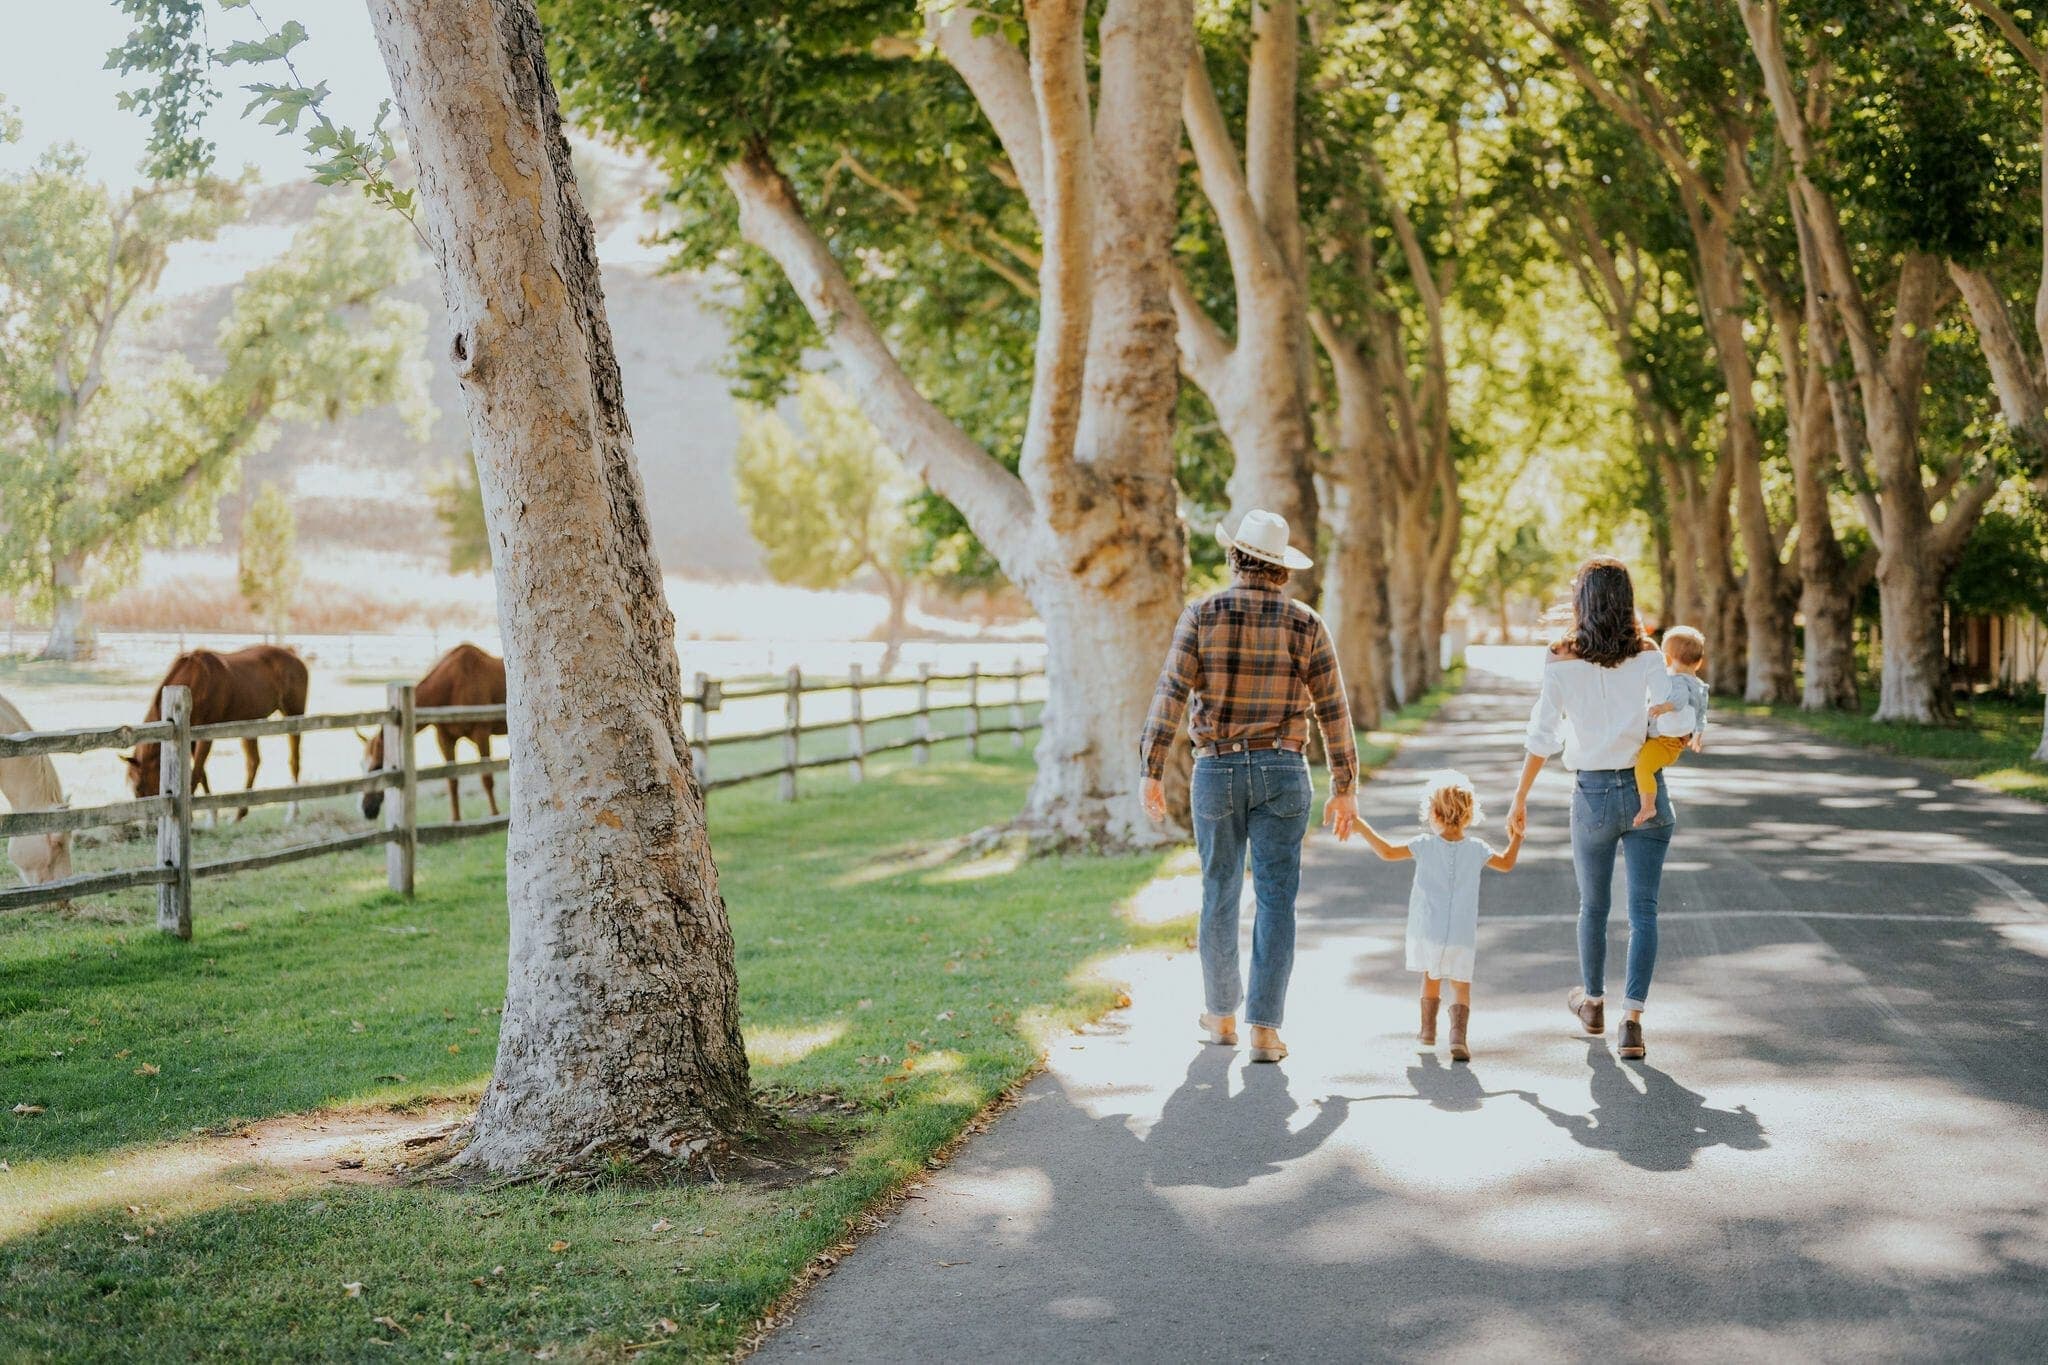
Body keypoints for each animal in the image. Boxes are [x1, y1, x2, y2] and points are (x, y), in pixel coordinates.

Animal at [128, 642, 309, 822]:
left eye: (138, 787)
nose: (148, 824)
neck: (195, 680)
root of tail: (292, 655)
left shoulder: (205, 738)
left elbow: (197, 772)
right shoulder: (191, 739)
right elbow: (202, 774)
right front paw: (211, 816)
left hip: (293, 717)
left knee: (294, 762)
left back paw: (293, 812)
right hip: (250, 725)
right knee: (253, 762)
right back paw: (240, 812)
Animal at [360, 642, 507, 822]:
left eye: (378, 766)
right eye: (361, 765)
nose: (367, 809)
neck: (454, 685)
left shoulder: (482, 733)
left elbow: (487, 778)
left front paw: (495, 816)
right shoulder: (444, 738)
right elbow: (452, 780)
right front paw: (455, 821)